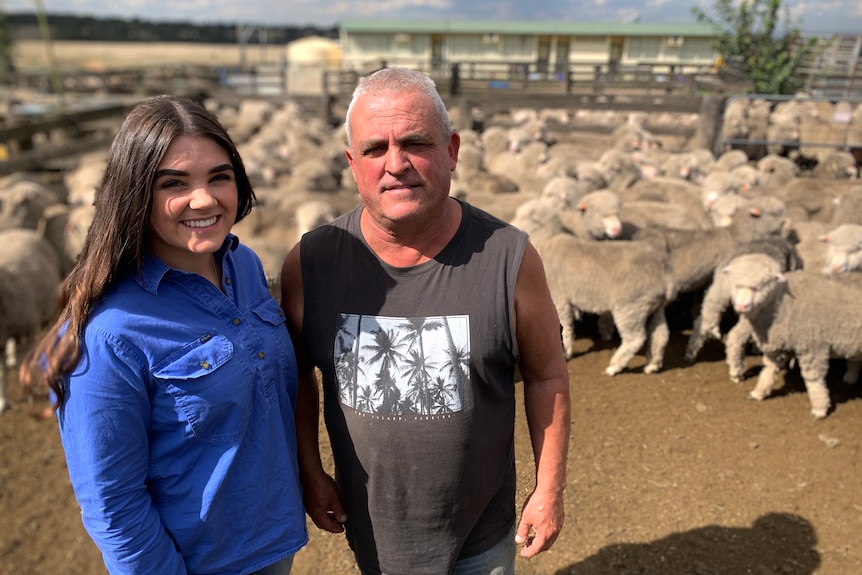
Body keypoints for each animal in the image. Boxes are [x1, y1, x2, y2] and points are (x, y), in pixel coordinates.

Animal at [724, 255, 862, 418]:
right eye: (735, 283)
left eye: (764, 284)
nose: (741, 306)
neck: (781, 304)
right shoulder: (777, 345)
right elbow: (768, 369)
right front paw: (759, 392)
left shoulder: (812, 347)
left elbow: (813, 379)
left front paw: (820, 408)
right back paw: (850, 378)